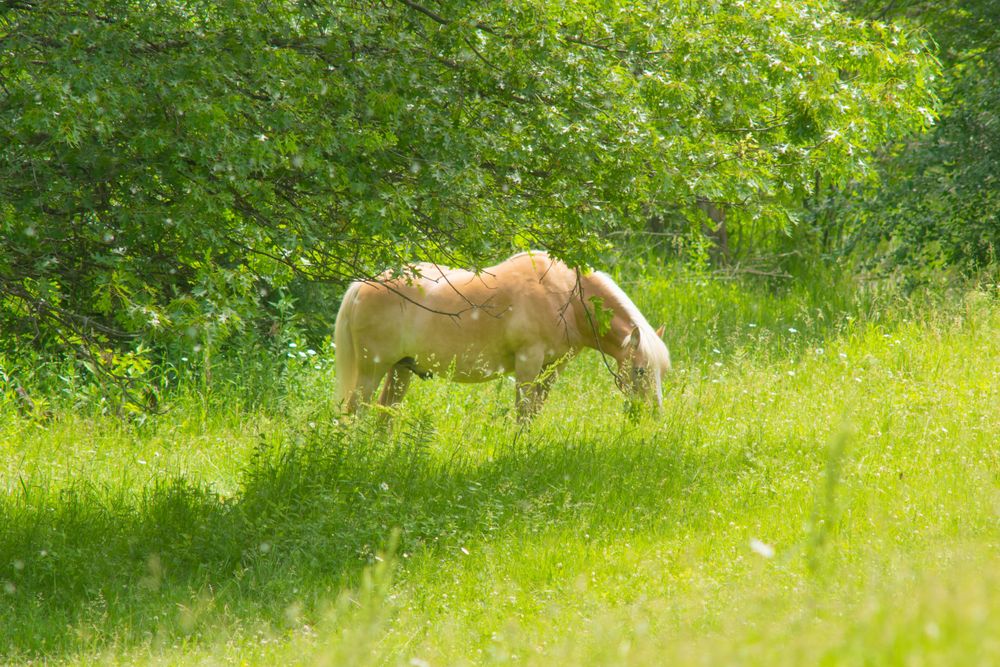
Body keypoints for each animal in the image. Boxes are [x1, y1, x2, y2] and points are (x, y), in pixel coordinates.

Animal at [333, 251, 671, 421]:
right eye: (640, 370)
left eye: (661, 371)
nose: (655, 414)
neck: (566, 296)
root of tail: (363, 285)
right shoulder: (528, 362)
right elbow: (523, 411)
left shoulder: (552, 368)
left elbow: (534, 411)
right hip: (373, 369)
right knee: (358, 409)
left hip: (401, 369)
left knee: (385, 412)